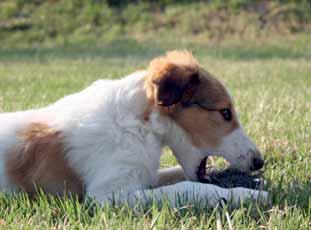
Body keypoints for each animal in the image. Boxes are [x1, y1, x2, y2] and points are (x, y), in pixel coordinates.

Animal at [0, 50, 268, 207]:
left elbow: (181, 174)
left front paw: (244, 181)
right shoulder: (109, 194)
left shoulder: (143, 173)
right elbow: (191, 187)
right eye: (225, 113)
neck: (138, 123)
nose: (259, 162)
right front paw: (248, 195)